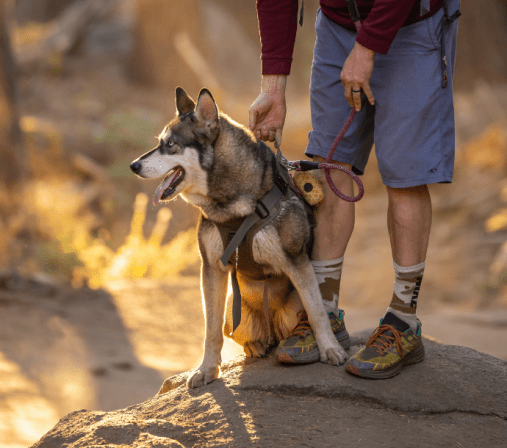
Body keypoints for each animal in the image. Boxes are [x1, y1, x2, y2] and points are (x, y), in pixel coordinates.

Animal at [130, 88, 350, 388]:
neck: (234, 208)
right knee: (240, 336)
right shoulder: (212, 270)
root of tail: (272, 331)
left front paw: (329, 349)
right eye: (161, 143)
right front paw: (207, 369)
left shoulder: (297, 261)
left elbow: (317, 312)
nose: (133, 165)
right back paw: (255, 346)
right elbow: (210, 331)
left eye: (171, 144)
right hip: (232, 313)